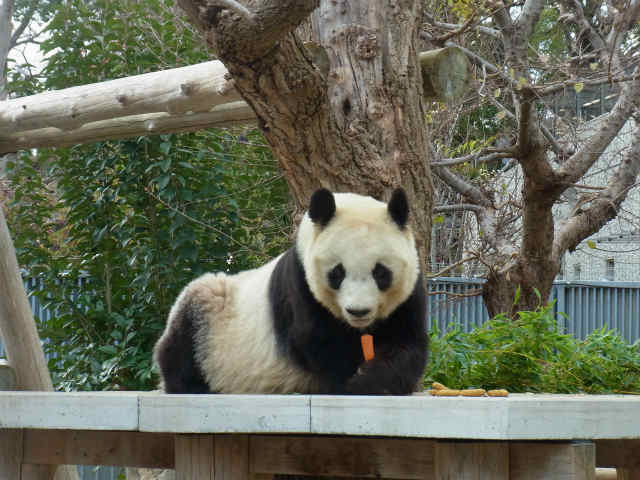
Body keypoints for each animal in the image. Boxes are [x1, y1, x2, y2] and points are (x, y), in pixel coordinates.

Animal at [152, 188, 428, 394]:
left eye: (380, 272)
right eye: (337, 273)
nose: (358, 311)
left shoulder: (409, 293)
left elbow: (409, 345)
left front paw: (370, 378)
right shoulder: (300, 284)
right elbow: (315, 341)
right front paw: (353, 380)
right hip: (212, 315)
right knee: (183, 341)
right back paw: (190, 383)